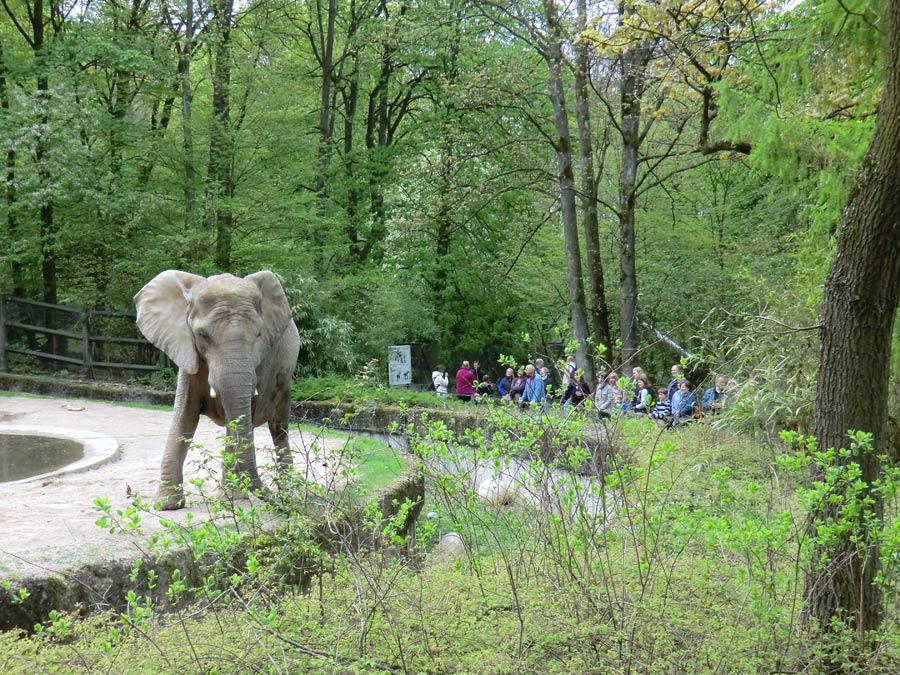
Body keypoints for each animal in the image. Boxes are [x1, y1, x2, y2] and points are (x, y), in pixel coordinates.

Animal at [134, 268, 300, 508]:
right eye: (202, 335)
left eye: (258, 335)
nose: (272, 499)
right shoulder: (187, 352)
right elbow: (185, 416)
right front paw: (166, 505)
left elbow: (236, 419)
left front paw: (232, 500)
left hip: (285, 377)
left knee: (279, 429)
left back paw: (289, 494)